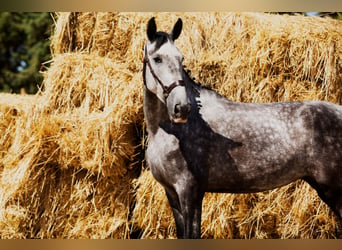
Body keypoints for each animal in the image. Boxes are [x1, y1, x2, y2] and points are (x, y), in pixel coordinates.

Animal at [143, 16, 342, 238]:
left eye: (180, 58)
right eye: (157, 59)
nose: (181, 107)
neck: (168, 133)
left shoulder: (190, 191)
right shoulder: (172, 193)